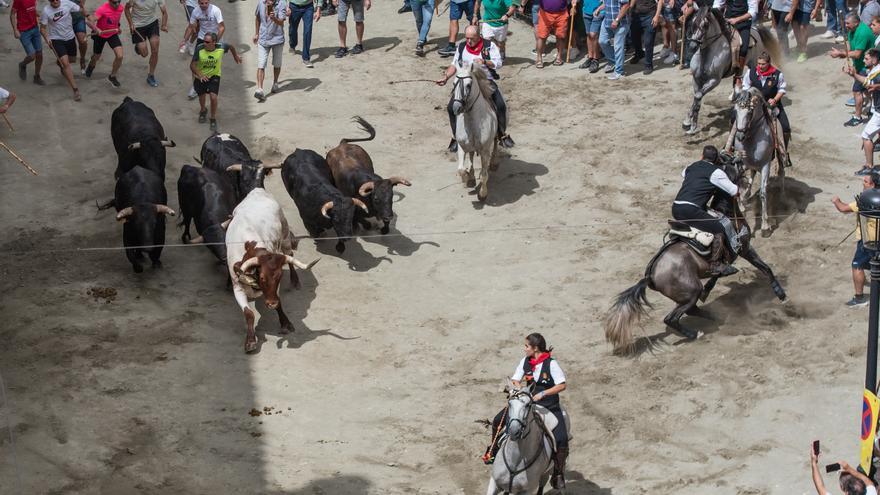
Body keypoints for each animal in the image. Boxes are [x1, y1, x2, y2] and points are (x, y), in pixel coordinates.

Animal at [227, 188, 320, 354]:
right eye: (262, 277)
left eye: (279, 277)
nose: (271, 303)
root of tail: (257, 190)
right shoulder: (237, 287)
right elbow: (249, 313)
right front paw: (250, 341)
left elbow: (279, 303)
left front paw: (285, 323)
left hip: (285, 236)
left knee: (290, 255)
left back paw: (295, 281)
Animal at [450, 61, 498, 202]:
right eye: (454, 84)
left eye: (468, 85)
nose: (456, 108)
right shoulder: (462, 146)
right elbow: (461, 169)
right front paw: (467, 178)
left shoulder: (485, 150)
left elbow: (484, 174)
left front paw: (482, 194)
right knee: (471, 155)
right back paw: (471, 176)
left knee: (497, 143)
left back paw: (494, 163)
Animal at [604, 161, 784, 354]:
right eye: (733, 166)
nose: (742, 161)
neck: (727, 212)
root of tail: (650, 275)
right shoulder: (744, 248)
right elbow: (764, 267)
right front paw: (780, 293)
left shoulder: (728, 258)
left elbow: (718, 274)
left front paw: (709, 290)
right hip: (690, 291)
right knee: (672, 318)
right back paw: (695, 333)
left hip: (685, 295)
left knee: (692, 310)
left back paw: (716, 317)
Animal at [684, 7, 780, 136]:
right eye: (693, 22)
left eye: (705, 24)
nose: (692, 46)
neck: (706, 55)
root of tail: (755, 30)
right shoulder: (696, 79)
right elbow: (696, 99)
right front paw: (689, 123)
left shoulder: (714, 80)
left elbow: (698, 96)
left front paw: (691, 125)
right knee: (738, 78)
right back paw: (735, 95)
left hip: (754, 63)